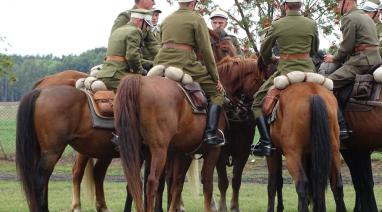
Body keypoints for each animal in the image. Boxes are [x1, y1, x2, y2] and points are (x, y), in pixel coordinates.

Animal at [266, 83, 346, 212]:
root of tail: (313, 93)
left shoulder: (274, 153)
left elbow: (273, 183)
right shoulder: (306, 154)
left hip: (292, 156)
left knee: (302, 184)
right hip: (333, 151)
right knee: (336, 184)